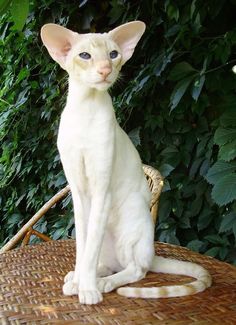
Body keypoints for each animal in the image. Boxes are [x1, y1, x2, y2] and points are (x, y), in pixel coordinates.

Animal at [40, 20, 212, 304]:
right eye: (85, 55)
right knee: (109, 262)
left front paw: (87, 289)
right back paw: (83, 277)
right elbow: (83, 246)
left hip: (129, 226)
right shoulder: (78, 192)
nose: (105, 70)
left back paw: (103, 283)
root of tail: (151, 252)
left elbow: (91, 247)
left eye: (113, 54)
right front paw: (78, 281)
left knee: (136, 269)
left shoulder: (101, 190)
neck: (85, 107)